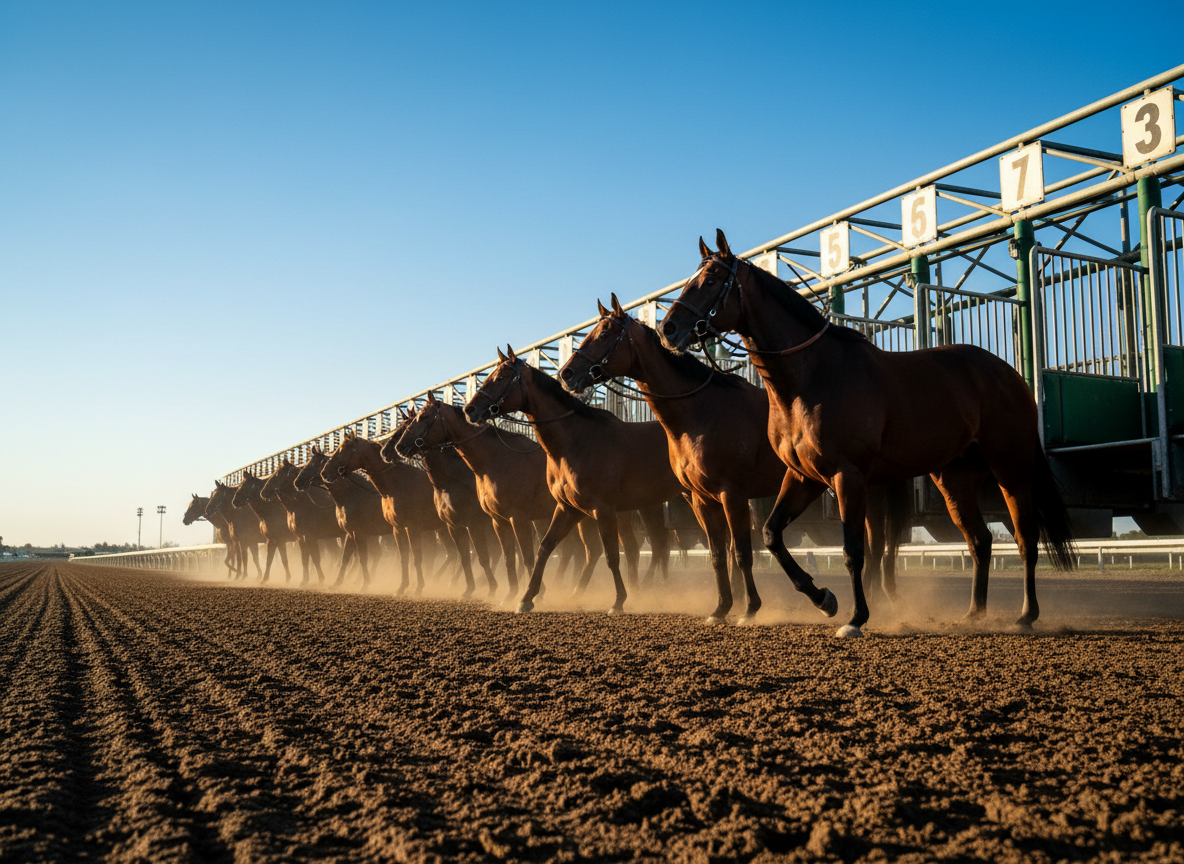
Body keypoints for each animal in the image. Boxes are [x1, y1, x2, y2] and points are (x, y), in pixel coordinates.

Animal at [294, 447, 393, 589]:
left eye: (312, 463)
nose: (297, 482)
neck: (353, 494)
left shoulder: (358, 533)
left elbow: (362, 557)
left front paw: (365, 584)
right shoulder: (350, 533)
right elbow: (345, 558)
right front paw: (337, 583)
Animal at [321, 431, 457, 597]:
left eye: (343, 449)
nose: (325, 472)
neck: (396, 484)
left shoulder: (411, 528)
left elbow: (416, 556)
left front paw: (418, 587)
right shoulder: (396, 529)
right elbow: (403, 558)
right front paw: (402, 587)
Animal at [388, 396, 606, 600]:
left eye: (423, 417)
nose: (397, 448)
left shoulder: (503, 520)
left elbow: (517, 556)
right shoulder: (474, 523)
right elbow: (494, 557)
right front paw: (499, 592)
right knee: (586, 551)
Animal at [466, 346, 679, 615]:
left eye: (501, 378)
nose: (470, 410)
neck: (576, 442)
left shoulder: (603, 510)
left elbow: (611, 555)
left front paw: (618, 601)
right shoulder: (568, 508)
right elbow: (544, 548)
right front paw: (527, 598)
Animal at [659, 230, 1075, 636]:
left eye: (712, 279)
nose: (669, 328)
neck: (812, 377)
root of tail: (1009, 374)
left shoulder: (848, 475)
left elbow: (853, 550)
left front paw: (856, 617)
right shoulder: (804, 476)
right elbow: (772, 534)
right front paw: (823, 598)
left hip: (1010, 466)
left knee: (1025, 537)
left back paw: (1026, 615)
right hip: (953, 477)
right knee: (980, 540)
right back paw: (974, 613)